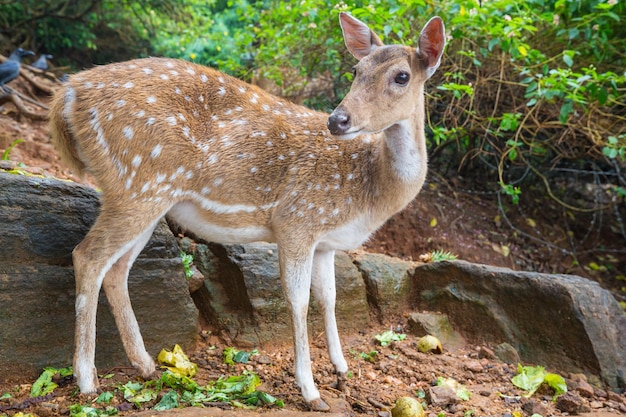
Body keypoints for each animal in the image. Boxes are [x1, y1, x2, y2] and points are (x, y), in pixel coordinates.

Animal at [48, 12, 444, 410]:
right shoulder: (296, 219)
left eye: (401, 76)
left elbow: (329, 298)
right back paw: (87, 379)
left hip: (146, 196)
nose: (338, 120)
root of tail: (66, 95)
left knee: (116, 270)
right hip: (138, 183)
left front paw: (341, 369)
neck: (368, 190)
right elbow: (299, 301)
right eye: (356, 70)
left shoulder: (325, 241)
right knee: (88, 256)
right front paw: (311, 391)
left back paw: (145, 365)